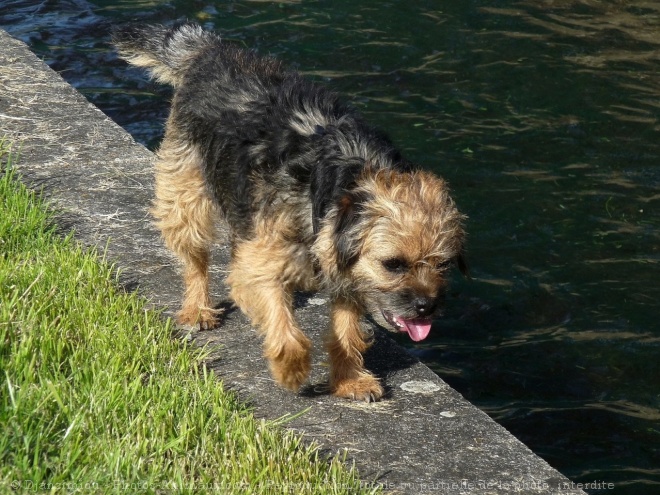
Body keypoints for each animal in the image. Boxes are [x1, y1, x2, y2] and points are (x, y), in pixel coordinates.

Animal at [112, 23, 464, 404]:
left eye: (443, 264)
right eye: (393, 264)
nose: (426, 307)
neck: (336, 183)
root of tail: (211, 51)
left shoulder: (344, 272)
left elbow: (347, 329)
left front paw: (349, 379)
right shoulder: (263, 265)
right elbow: (282, 323)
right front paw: (291, 369)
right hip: (185, 194)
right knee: (194, 257)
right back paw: (197, 308)